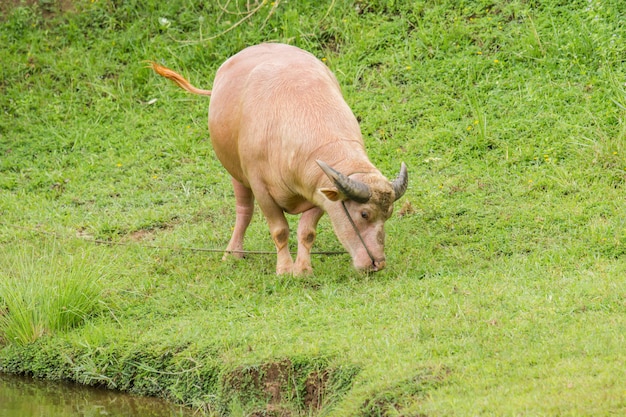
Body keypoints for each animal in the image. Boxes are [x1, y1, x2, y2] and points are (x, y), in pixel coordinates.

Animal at [149, 44, 408, 274]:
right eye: (364, 214)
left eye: (389, 214)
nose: (377, 263)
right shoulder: (262, 189)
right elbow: (279, 230)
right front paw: (284, 269)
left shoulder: (318, 193)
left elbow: (307, 232)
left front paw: (302, 269)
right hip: (236, 173)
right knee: (244, 211)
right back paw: (233, 253)